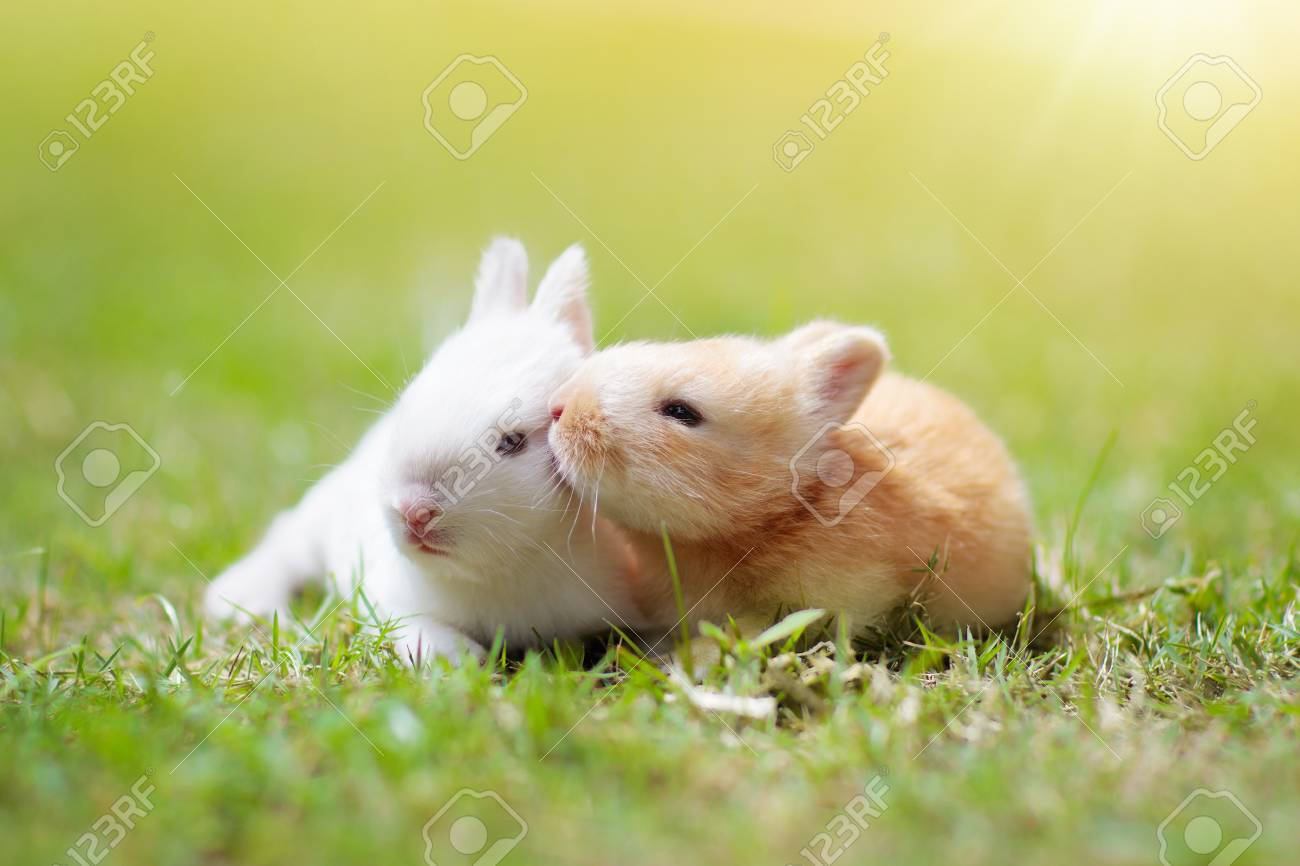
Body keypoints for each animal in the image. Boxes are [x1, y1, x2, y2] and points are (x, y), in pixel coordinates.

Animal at [204, 238, 644, 664]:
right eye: (405, 404)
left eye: (512, 442)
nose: (413, 512)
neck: (510, 568)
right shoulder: (388, 597)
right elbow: (414, 629)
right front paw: (459, 660)